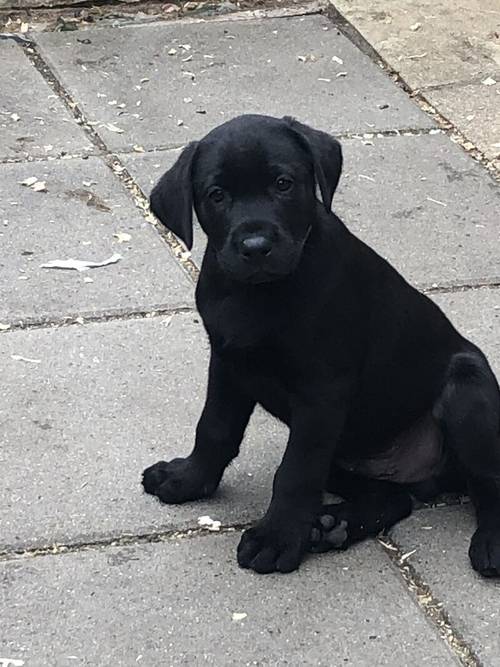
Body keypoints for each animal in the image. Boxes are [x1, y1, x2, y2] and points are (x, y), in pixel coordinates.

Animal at [142, 112, 500, 576]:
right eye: (216, 195)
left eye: (283, 183)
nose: (255, 246)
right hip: (350, 459)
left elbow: (296, 471)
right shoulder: (227, 362)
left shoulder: (322, 392)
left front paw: (276, 538)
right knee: (393, 498)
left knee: (489, 480)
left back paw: (491, 542)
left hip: (468, 389)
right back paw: (335, 525)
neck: (260, 294)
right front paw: (188, 479)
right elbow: (214, 428)